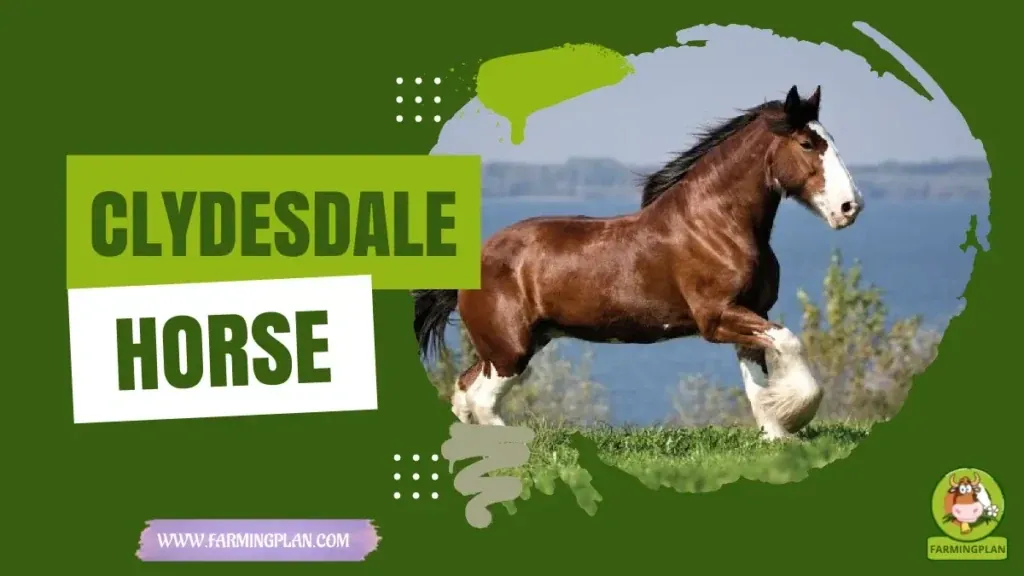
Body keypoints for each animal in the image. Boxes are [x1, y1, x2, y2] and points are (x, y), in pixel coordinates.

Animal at [413, 85, 864, 439]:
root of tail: (476, 255)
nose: (850, 207)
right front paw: (796, 416)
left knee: (465, 390)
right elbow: (790, 343)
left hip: (516, 343)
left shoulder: (753, 313)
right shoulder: (717, 317)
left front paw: (777, 437)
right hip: (510, 348)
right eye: (807, 144)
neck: (716, 225)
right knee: (482, 401)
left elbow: (757, 385)